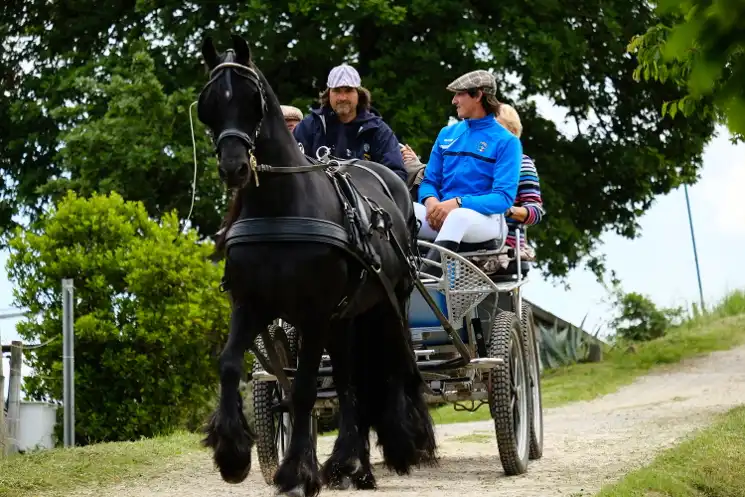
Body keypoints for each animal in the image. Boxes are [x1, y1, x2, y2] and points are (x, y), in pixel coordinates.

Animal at [196, 33, 436, 494]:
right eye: (209, 103)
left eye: (253, 100)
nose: (234, 167)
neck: (279, 208)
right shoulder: (251, 305)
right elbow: (231, 365)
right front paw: (232, 453)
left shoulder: (312, 313)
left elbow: (305, 388)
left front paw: (295, 473)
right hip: (346, 316)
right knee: (348, 381)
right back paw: (352, 464)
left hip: (388, 301)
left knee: (395, 367)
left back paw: (404, 444)